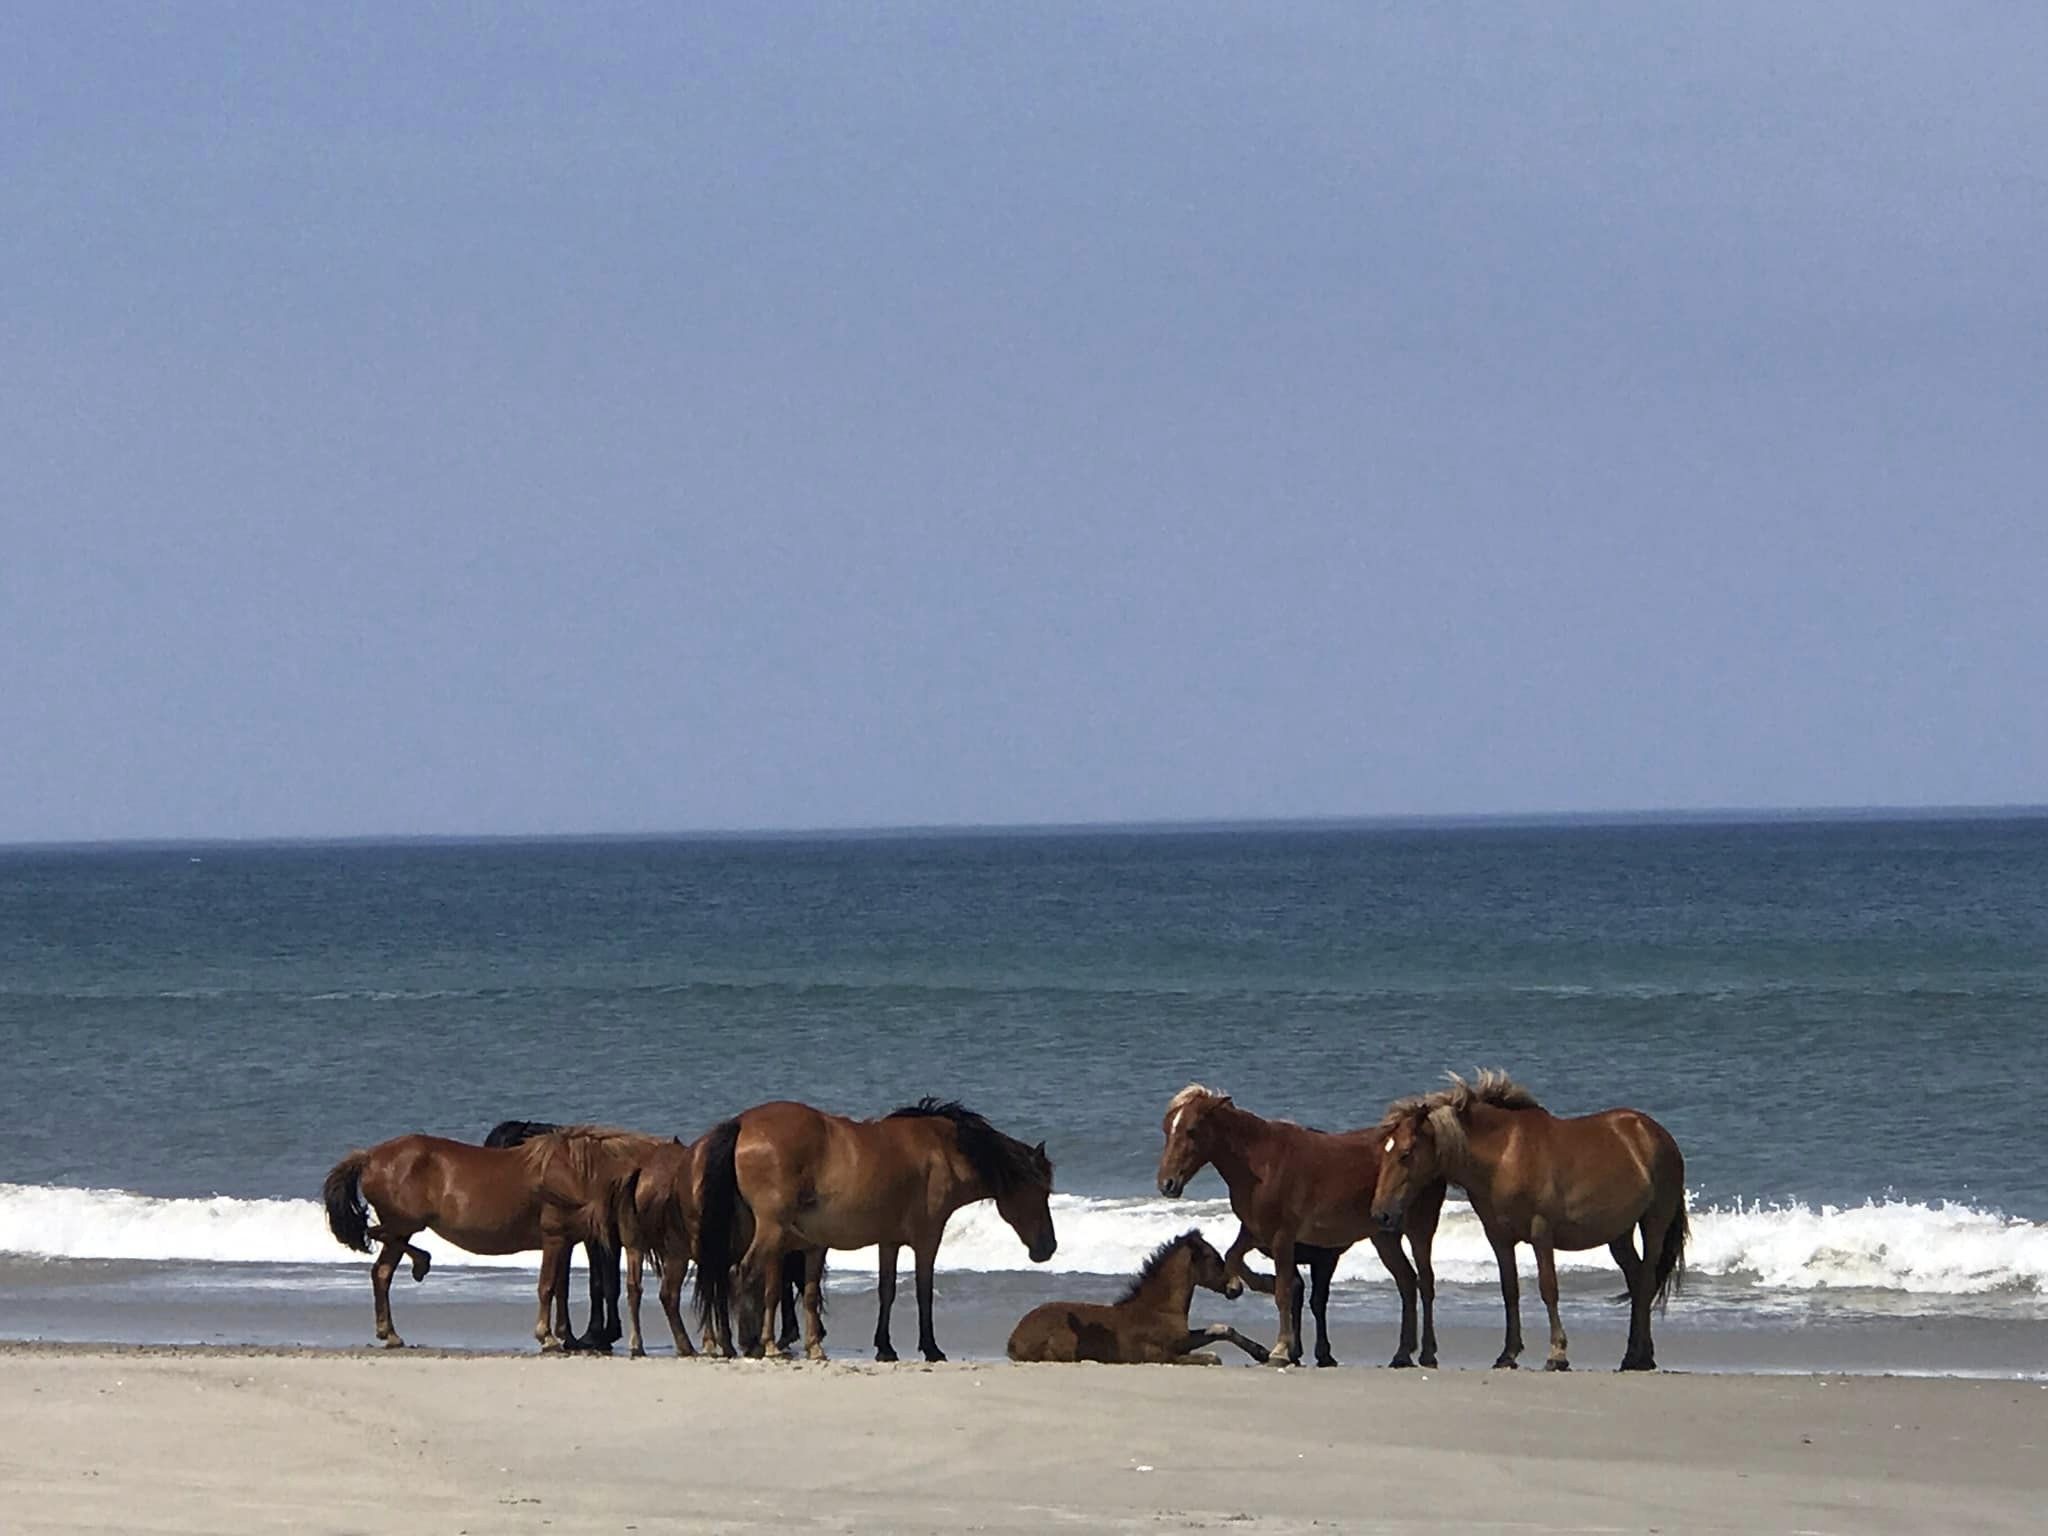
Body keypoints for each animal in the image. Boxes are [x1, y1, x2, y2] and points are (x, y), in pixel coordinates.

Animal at [700, 1097, 1056, 1368]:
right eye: (1041, 1191)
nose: (1048, 1248)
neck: (943, 1151)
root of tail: (743, 1124)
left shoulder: (889, 1241)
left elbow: (887, 1291)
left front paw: (885, 1348)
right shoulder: (927, 1239)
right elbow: (923, 1292)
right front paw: (932, 1348)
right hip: (770, 1231)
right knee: (742, 1273)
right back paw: (751, 1344)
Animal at [1003, 1236, 1269, 1368]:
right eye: (1214, 1259)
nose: (1236, 1287)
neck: (1158, 1309)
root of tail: (1013, 1338)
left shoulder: (1184, 1340)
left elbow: (1221, 1329)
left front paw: (1262, 1353)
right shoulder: (1163, 1355)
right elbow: (1214, 1357)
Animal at [1163, 1081, 1449, 1368]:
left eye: (1191, 1130)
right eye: (1166, 1129)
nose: (1167, 1184)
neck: (1261, 1164)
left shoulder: (1282, 1238)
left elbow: (1283, 1292)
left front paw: (1280, 1349)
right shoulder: (1256, 1232)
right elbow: (1234, 1257)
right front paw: (1257, 1283)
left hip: (1419, 1230)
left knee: (1424, 1282)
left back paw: (1427, 1353)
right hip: (1385, 1235)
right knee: (1406, 1282)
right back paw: (1402, 1354)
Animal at [1368, 1073, 1687, 1384]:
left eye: (1405, 1153)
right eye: (1385, 1153)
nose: (1381, 1213)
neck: (1505, 1155)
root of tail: (1656, 1133)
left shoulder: (1541, 1233)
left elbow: (1549, 1288)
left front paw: (1557, 1355)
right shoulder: (1499, 1238)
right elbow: (1510, 1290)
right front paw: (1507, 1355)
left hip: (1654, 1223)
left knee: (1645, 1281)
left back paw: (1640, 1357)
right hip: (1619, 1234)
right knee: (1636, 1281)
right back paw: (1634, 1356)